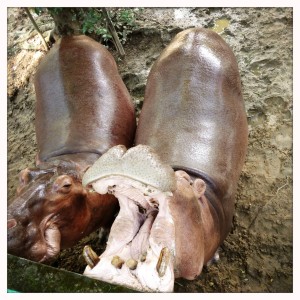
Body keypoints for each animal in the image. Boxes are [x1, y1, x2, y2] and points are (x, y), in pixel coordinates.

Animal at [7, 34, 136, 262]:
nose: (7, 225)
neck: (71, 158)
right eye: (22, 175)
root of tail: (68, 38)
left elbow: (108, 221)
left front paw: (104, 236)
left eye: (66, 186)